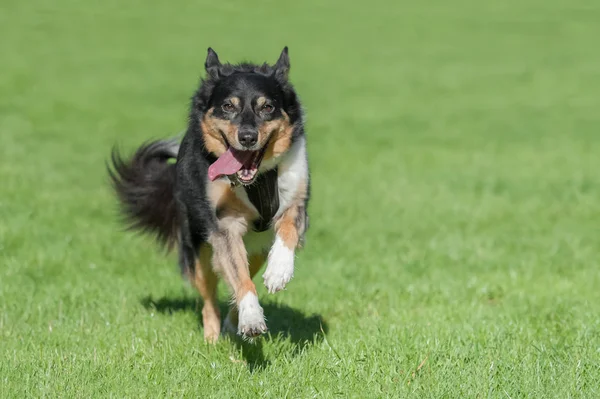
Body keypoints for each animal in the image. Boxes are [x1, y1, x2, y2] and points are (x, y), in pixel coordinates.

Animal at [108, 46, 312, 340]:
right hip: (199, 250)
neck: (256, 180)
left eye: (267, 107)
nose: (247, 137)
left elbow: (288, 232)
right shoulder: (224, 225)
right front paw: (251, 317)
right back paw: (213, 338)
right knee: (210, 296)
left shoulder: (296, 201)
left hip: (257, 247)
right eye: (228, 106)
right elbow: (239, 277)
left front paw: (279, 272)